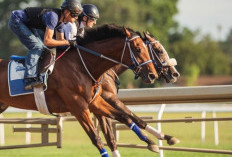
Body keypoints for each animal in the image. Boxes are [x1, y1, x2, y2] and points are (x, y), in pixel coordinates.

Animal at [0, 23, 158, 156]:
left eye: (147, 49)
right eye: (138, 49)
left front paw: (152, 142)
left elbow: (124, 117)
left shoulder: (94, 102)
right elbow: (97, 139)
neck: (81, 65)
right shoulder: (78, 107)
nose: (153, 75)